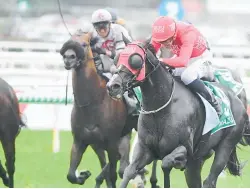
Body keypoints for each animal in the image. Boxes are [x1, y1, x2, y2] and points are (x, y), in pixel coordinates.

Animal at [59, 32, 139, 188]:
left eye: (84, 44)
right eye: (68, 42)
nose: (68, 57)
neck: (91, 104)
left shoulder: (111, 142)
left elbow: (113, 174)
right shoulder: (80, 141)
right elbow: (70, 175)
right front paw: (83, 175)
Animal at [106, 41, 249, 188]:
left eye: (135, 61)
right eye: (117, 58)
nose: (113, 86)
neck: (161, 109)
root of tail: (236, 98)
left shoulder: (185, 151)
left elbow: (165, 163)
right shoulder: (145, 149)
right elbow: (129, 171)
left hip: (226, 145)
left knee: (210, 180)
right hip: (198, 160)